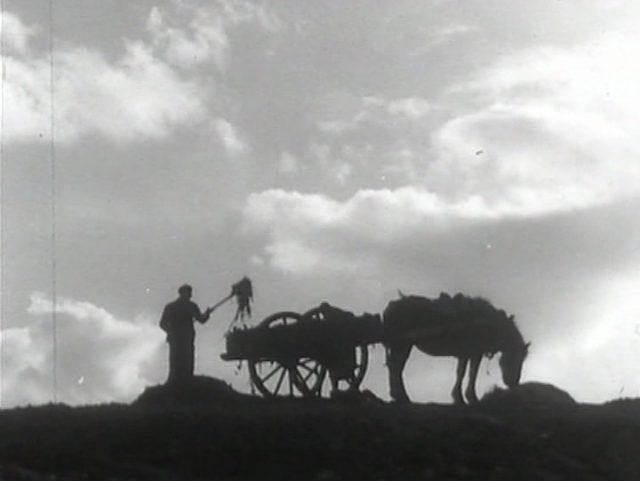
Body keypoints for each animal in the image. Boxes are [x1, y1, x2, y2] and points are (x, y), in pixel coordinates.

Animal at [382, 292, 528, 402]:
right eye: (515, 358)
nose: (513, 383)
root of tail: (390, 308)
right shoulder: (471, 353)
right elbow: (467, 373)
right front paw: (465, 397)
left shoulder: (470, 353)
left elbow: (466, 373)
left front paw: (463, 396)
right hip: (401, 345)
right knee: (396, 368)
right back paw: (401, 396)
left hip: (402, 346)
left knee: (395, 367)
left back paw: (398, 396)